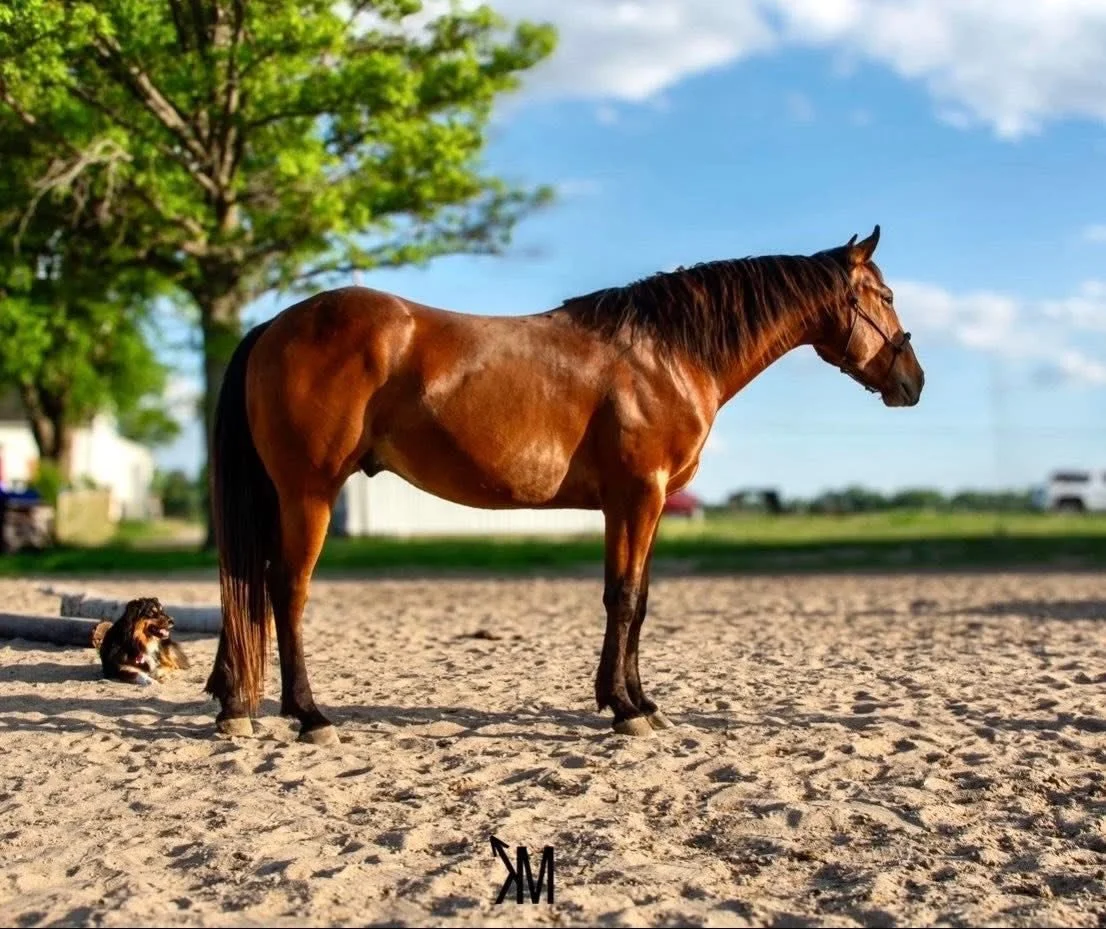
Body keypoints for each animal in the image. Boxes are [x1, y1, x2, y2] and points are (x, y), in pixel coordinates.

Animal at [205, 225, 924, 745]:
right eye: (886, 298)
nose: (912, 381)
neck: (665, 354)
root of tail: (274, 325)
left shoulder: (637, 505)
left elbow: (636, 599)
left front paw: (638, 701)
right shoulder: (639, 495)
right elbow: (624, 599)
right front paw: (627, 710)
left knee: (249, 586)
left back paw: (235, 704)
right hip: (309, 494)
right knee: (285, 590)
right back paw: (310, 715)